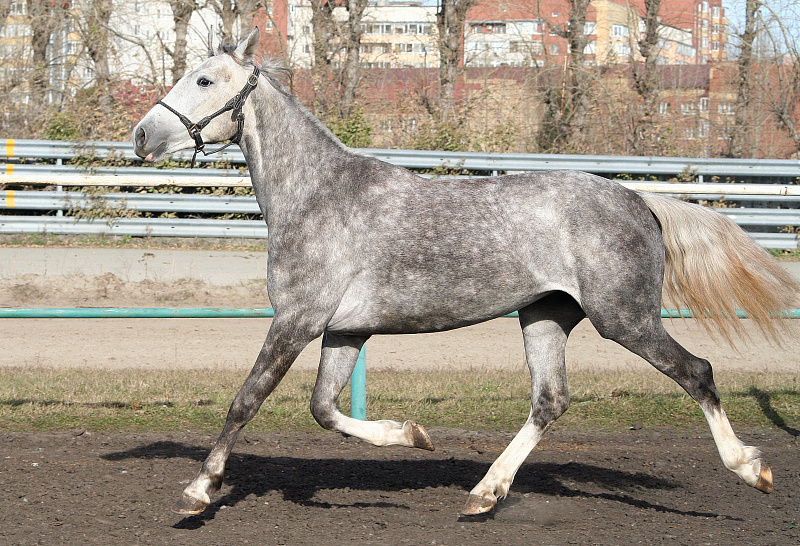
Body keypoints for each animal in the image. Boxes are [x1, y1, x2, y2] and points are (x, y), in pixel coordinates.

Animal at [133, 28, 798, 517]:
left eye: (203, 79)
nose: (142, 136)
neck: (318, 197)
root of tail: (638, 200)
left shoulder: (296, 320)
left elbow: (247, 400)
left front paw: (199, 490)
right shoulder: (343, 330)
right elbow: (325, 410)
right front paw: (413, 435)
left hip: (625, 319)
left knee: (697, 372)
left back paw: (753, 470)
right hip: (545, 316)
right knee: (549, 401)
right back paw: (484, 492)